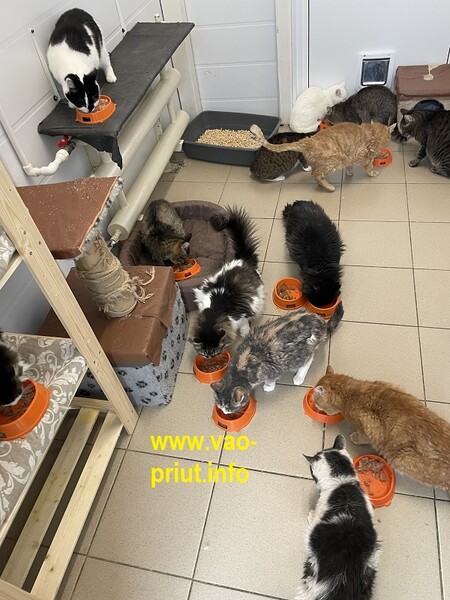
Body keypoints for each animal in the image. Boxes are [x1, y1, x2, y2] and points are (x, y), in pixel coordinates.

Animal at [190, 206, 264, 358]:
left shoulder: (241, 316)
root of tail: (241, 259)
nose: (210, 358)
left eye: (215, 351)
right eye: (204, 354)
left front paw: (245, 333)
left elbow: (244, 326)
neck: (215, 311)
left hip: (258, 297)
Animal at [211, 304, 343, 415]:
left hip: (303, 351)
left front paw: (269, 386)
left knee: (308, 359)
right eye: (220, 405)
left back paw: (299, 377)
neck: (240, 367)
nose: (225, 412)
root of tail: (320, 322)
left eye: (229, 408)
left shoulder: (272, 369)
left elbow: (271, 379)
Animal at [250, 122, 395, 192]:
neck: (372, 132)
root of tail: (308, 140)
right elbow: (369, 167)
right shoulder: (365, 156)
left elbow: (350, 165)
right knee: (316, 174)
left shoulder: (350, 156)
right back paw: (329, 187)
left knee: (315, 173)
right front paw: (373, 173)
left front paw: (349, 173)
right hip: (334, 162)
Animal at [312, 366, 450, 492]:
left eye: (316, 401)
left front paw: (355, 437)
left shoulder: (368, 429)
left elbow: (362, 437)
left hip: (402, 460)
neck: (352, 392)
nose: (316, 406)